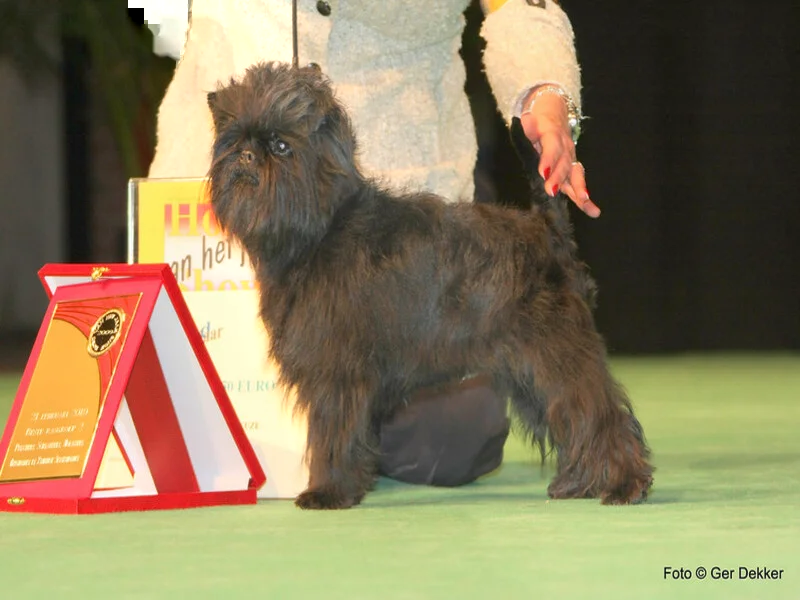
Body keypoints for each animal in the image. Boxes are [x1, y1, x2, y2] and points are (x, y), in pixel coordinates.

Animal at [206, 62, 656, 510]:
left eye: (281, 145)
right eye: (234, 138)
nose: (246, 154)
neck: (318, 228)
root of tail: (546, 228)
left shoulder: (337, 373)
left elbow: (332, 434)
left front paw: (328, 491)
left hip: (555, 350)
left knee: (599, 413)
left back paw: (624, 485)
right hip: (527, 368)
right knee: (569, 418)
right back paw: (581, 483)